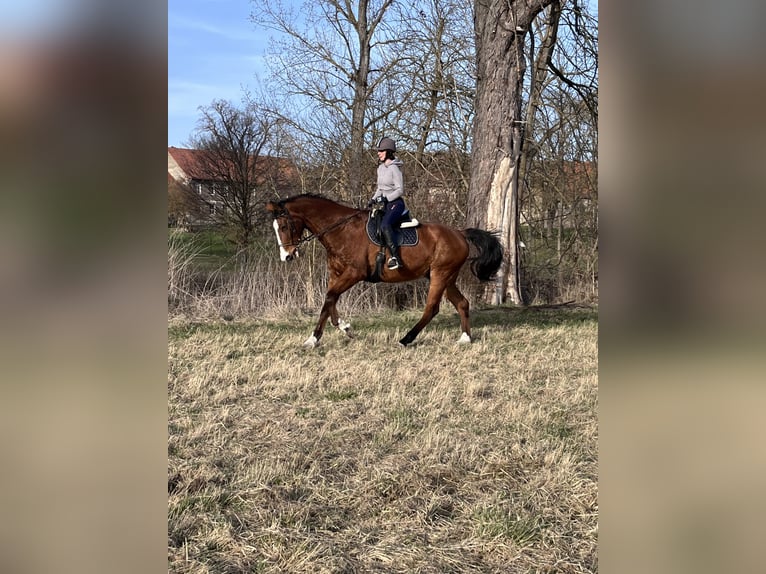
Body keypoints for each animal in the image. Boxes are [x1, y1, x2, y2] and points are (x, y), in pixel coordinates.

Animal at [265, 194, 502, 347]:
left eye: (284, 226)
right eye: (276, 228)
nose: (286, 256)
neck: (340, 229)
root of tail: (460, 233)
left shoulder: (354, 274)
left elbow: (330, 297)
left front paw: (315, 338)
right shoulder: (336, 274)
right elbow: (329, 302)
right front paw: (342, 328)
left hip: (440, 274)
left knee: (431, 308)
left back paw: (406, 339)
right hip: (446, 277)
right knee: (462, 303)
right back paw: (465, 338)